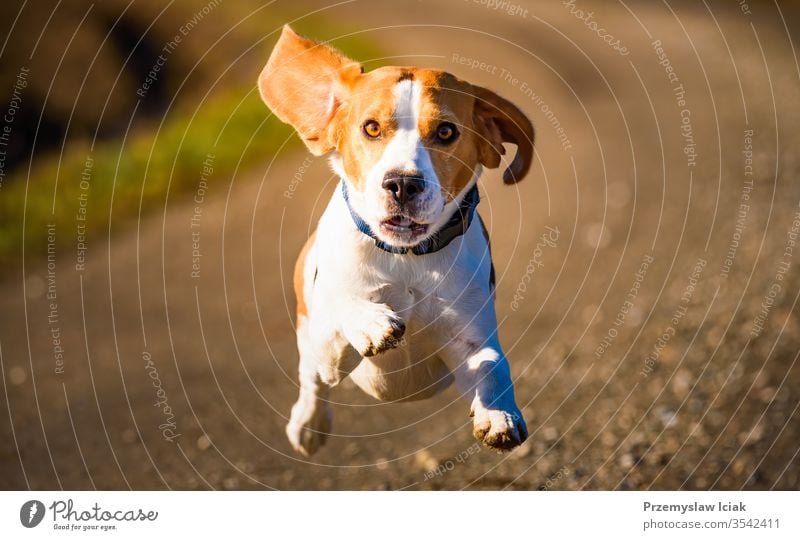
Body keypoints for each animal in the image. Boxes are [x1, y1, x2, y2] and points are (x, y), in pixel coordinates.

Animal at [260, 26, 536, 456]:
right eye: (371, 128)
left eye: (446, 132)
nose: (403, 183)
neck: (405, 258)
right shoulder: (326, 349)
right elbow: (342, 306)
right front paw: (372, 322)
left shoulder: (469, 340)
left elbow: (493, 364)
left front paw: (499, 414)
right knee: (311, 384)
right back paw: (309, 423)